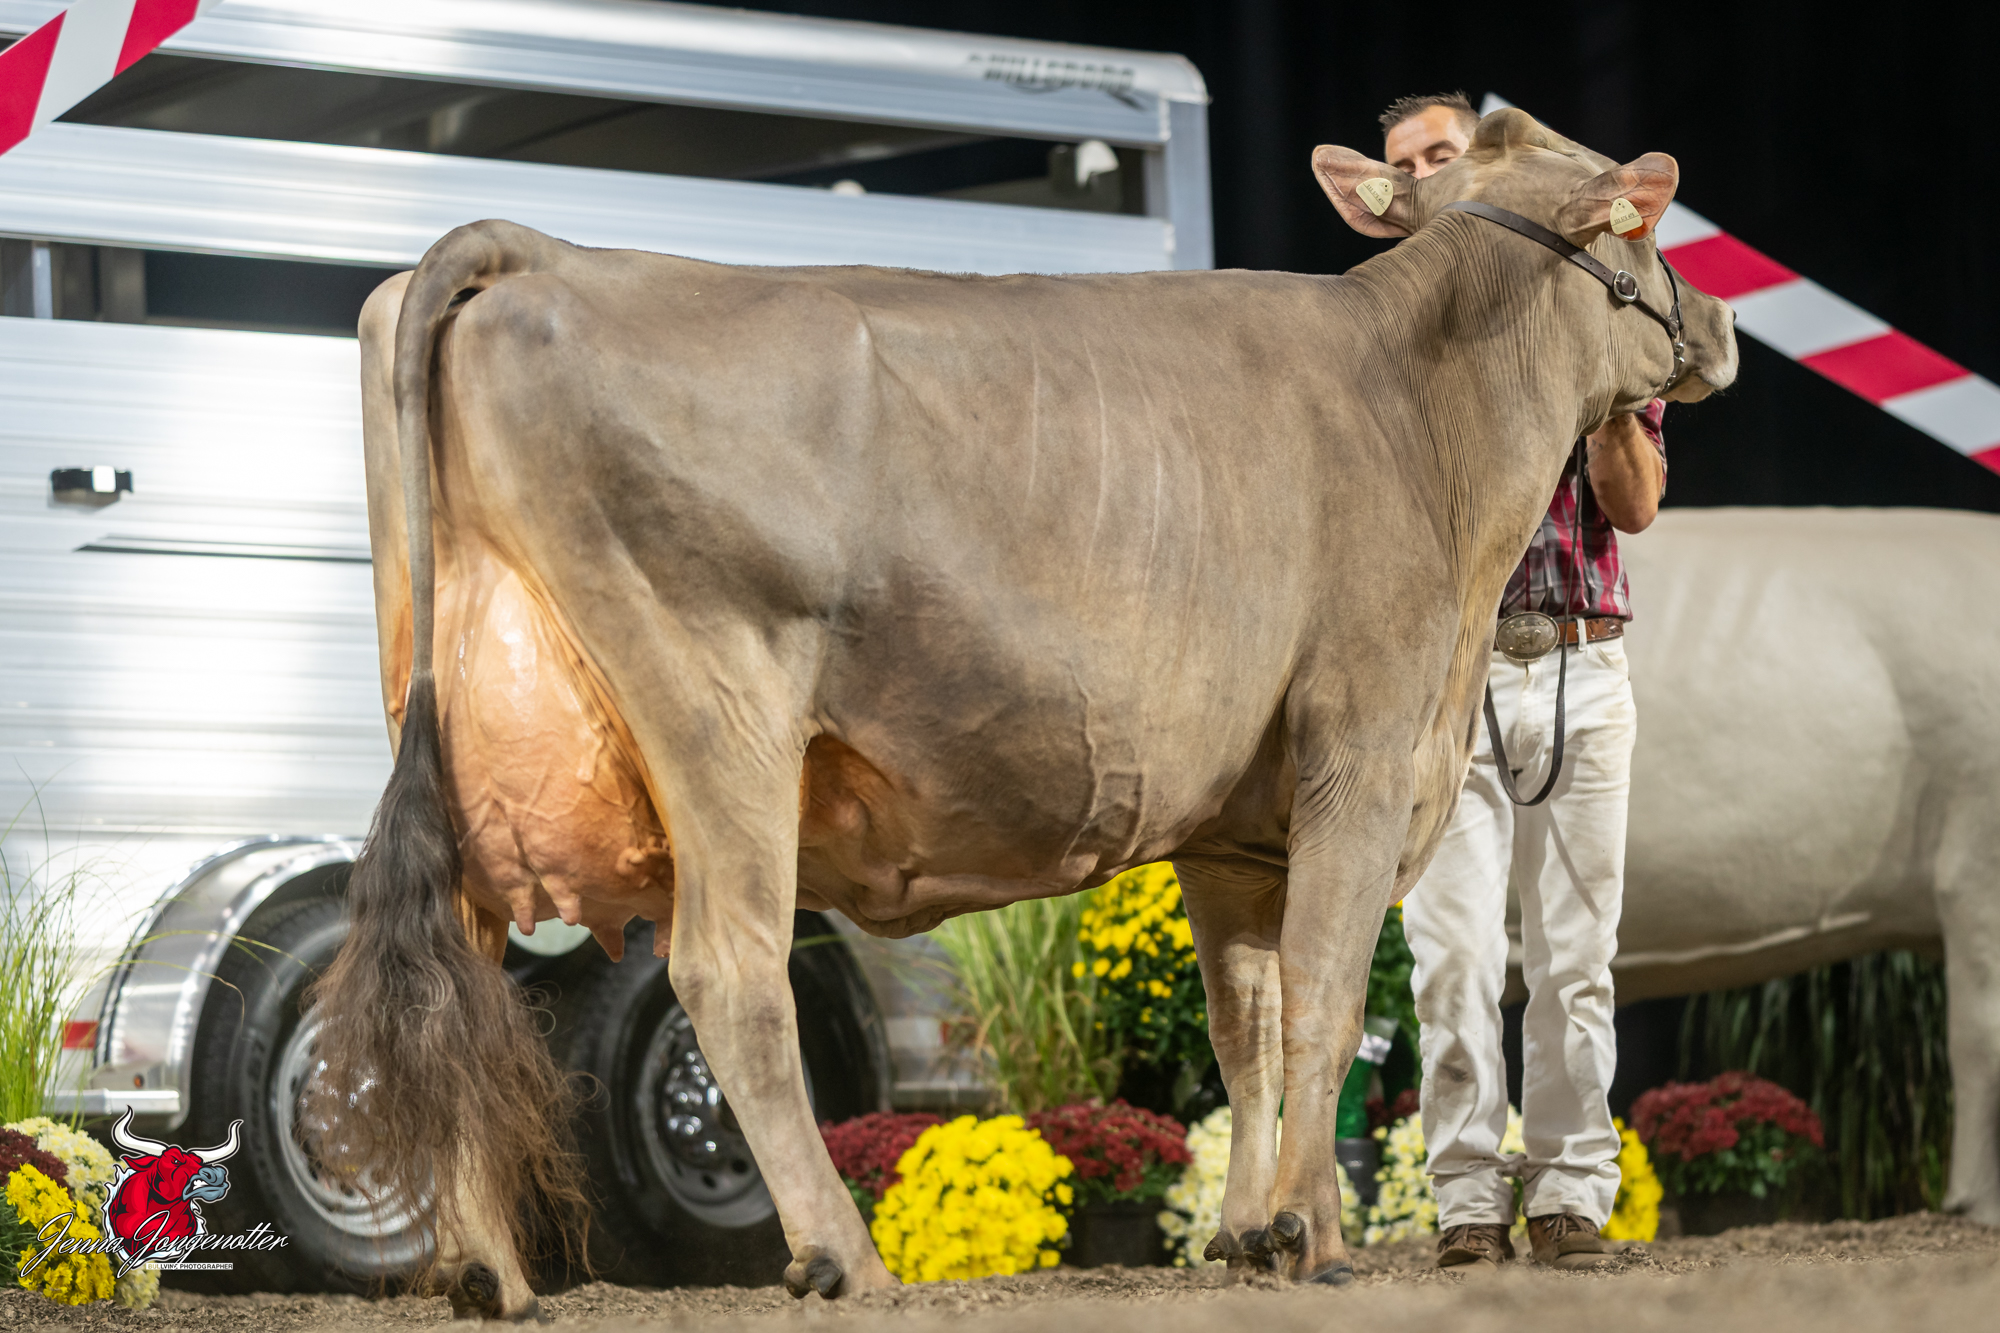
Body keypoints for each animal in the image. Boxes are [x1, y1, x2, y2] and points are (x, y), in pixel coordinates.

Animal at [307, 106, 1737, 1319]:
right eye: (1644, 226)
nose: (1716, 328)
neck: (1422, 408)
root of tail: (538, 254)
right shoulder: (1365, 749)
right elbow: (1326, 998)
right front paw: (1316, 1239)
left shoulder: (1231, 827)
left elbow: (1246, 1026)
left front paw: (1243, 1233)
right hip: (720, 712)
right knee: (726, 970)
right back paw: (842, 1256)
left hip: (452, 708)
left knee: (453, 974)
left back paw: (489, 1271)